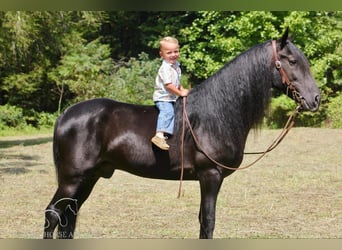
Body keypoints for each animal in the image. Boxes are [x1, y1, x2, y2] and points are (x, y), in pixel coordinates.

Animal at [43, 30, 320, 239]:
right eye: (292, 61)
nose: (315, 99)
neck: (217, 113)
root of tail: (66, 114)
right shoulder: (210, 175)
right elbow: (208, 221)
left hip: (89, 178)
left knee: (67, 219)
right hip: (71, 179)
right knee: (52, 215)